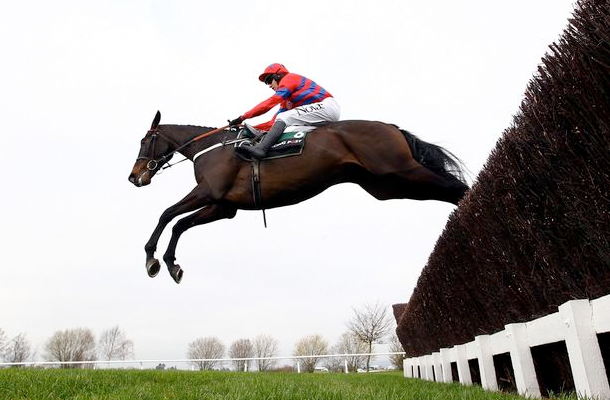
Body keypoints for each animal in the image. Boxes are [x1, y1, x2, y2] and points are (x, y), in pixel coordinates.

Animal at [128, 111, 466, 282]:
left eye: (145, 140)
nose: (134, 176)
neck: (210, 147)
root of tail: (390, 126)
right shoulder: (222, 206)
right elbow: (179, 224)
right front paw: (170, 263)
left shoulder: (208, 192)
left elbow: (167, 214)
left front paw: (151, 258)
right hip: (388, 186)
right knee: (445, 190)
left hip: (400, 170)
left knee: (454, 188)